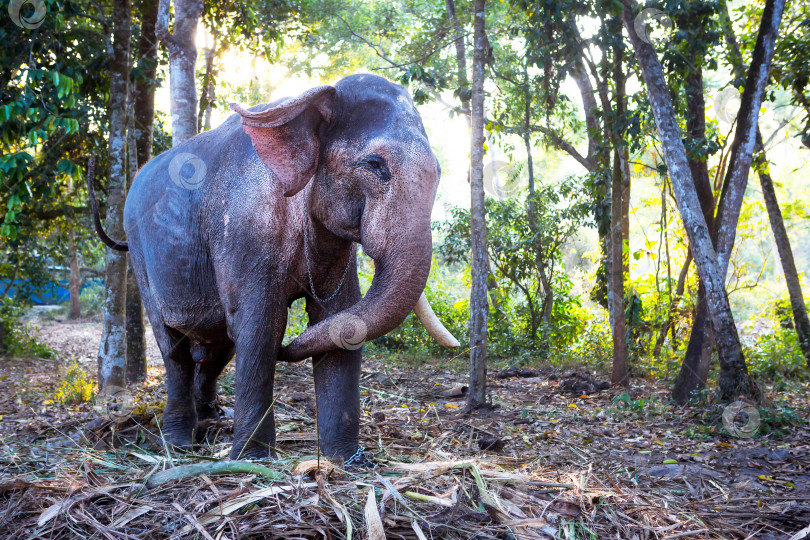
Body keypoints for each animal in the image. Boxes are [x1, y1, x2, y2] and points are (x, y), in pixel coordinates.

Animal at [91, 71, 458, 460]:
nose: (288, 351)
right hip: (141, 254)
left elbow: (340, 320)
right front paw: (252, 459)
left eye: (437, 172)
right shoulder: (245, 228)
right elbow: (261, 324)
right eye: (376, 165)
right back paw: (178, 443)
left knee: (218, 347)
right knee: (174, 349)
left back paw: (212, 420)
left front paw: (346, 460)